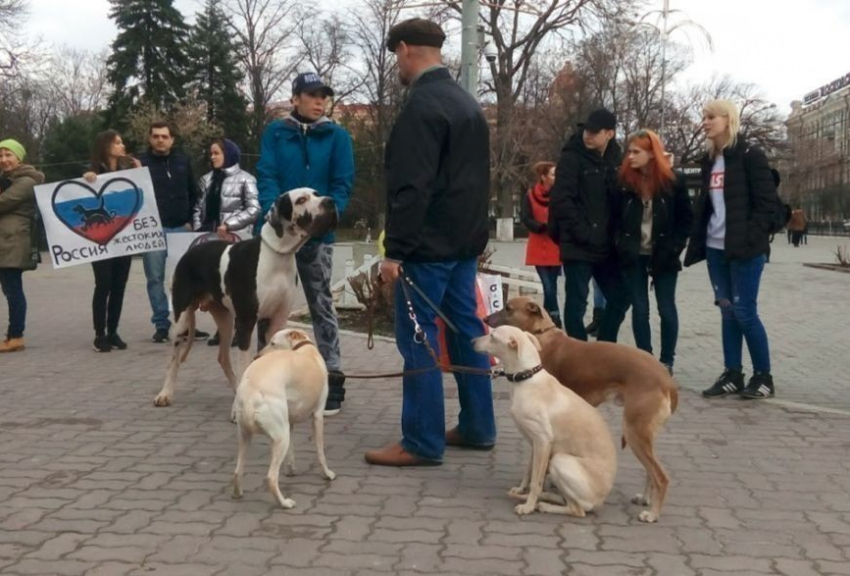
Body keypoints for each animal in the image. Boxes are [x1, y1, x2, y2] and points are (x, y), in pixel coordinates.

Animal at [154, 187, 336, 408]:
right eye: (301, 200)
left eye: (316, 193)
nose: (330, 201)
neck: (277, 255)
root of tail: (190, 252)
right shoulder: (247, 322)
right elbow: (245, 364)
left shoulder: (277, 321)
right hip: (182, 320)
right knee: (173, 360)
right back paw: (165, 393)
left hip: (226, 320)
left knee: (223, 357)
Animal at [235, 328, 338, 508]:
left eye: (273, 343)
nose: (256, 357)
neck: (304, 349)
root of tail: (250, 395)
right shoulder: (318, 416)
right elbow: (321, 453)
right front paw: (327, 474)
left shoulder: (290, 423)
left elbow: (291, 453)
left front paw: (291, 470)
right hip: (281, 438)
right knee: (271, 478)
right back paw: (284, 503)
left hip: (246, 436)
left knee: (237, 471)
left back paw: (238, 493)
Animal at [470, 326, 616, 520]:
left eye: (492, 336)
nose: (471, 341)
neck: (526, 379)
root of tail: (602, 499)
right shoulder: (535, 444)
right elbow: (529, 473)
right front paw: (521, 490)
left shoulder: (543, 441)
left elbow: (536, 482)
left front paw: (528, 506)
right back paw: (545, 497)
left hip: (559, 460)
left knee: (577, 510)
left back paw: (544, 505)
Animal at [486, 296, 680, 520]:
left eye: (508, 308)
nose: (484, 318)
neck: (542, 336)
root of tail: (667, 380)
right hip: (643, 433)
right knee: (651, 471)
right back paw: (645, 498)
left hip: (634, 433)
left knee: (661, 476)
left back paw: (653, 514)